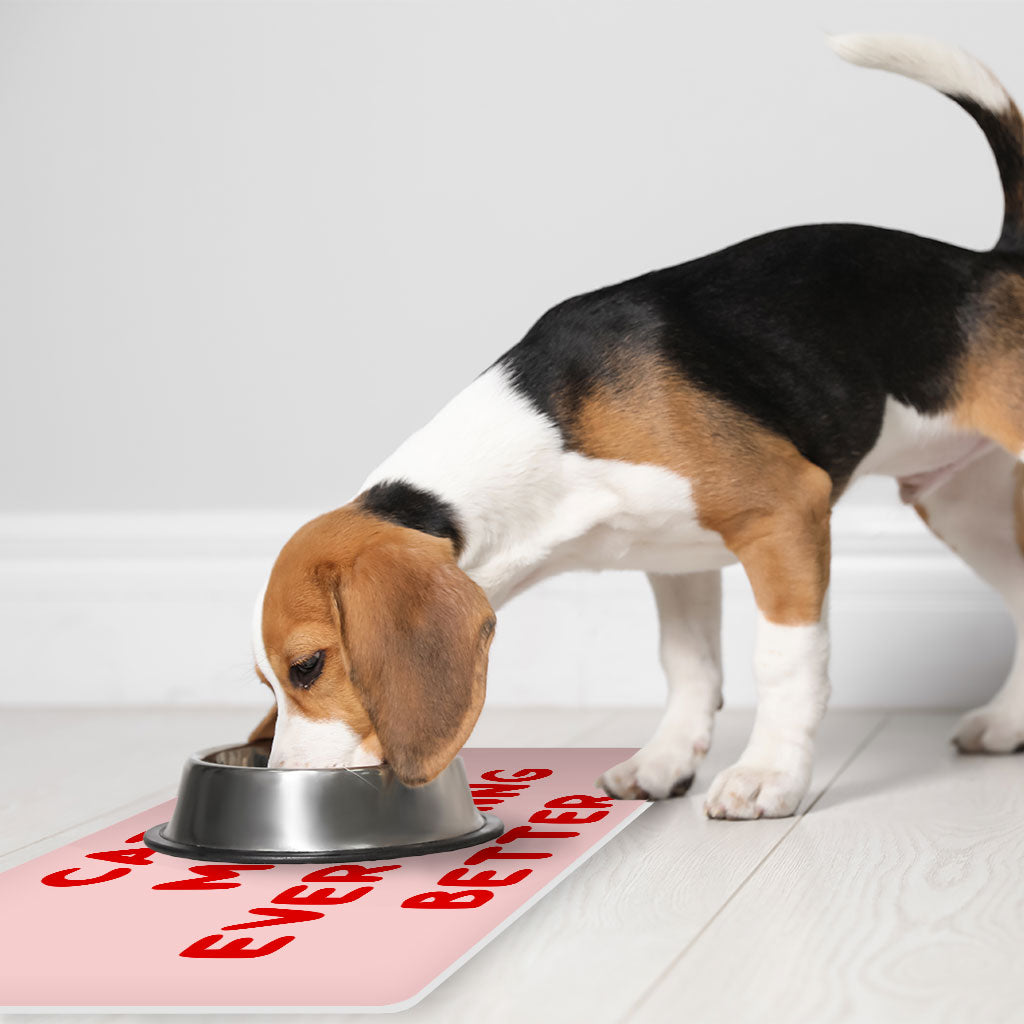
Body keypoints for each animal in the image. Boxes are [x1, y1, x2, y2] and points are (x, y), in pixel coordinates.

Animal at [250, 33, 1024, 819]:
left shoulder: (784, 513)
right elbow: (687, 668)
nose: (283, 782)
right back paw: (1005, 722)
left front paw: (770, 774)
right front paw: (664, 760)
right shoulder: (673, 556)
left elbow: (783, 661)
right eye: (268, 681)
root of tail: (993, 263)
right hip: (962, 509)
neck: (550, 434)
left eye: (308, 666)